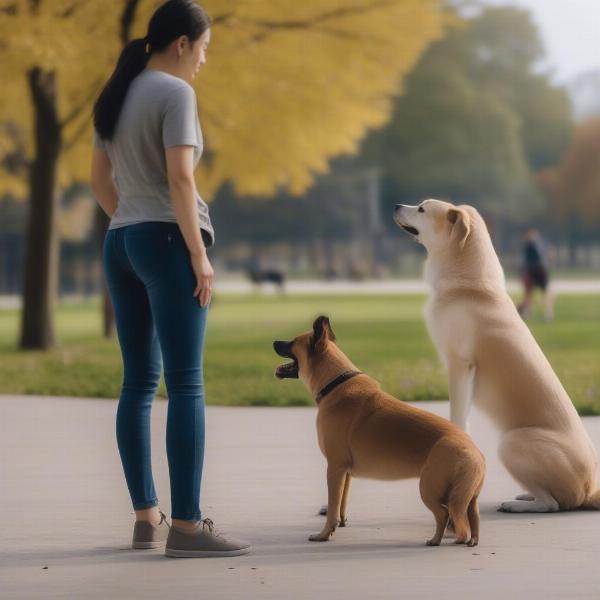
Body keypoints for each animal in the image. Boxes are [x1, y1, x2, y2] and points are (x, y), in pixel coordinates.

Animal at [274, 316, 486, 548]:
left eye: (293, 342)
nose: (274, 342)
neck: (335, 383)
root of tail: (475, 452)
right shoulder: (345, 473)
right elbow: (341, 503)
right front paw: (340, 524)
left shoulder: (334, 468)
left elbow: (332, 506)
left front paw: (324, 533)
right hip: (468, 498)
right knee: (472, 517)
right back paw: (470, 540)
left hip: (430, 490)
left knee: (444, 514)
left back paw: (435, 540)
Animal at [394, 200, 600, 510]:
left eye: (421, 208)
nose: (395, 205)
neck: (470, 286)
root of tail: (588, 489)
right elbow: (463, 418)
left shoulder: (460, 365)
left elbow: (456, 415)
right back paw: (525, 495)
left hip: (511, 443)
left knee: (551, 503)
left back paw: (520, 505)